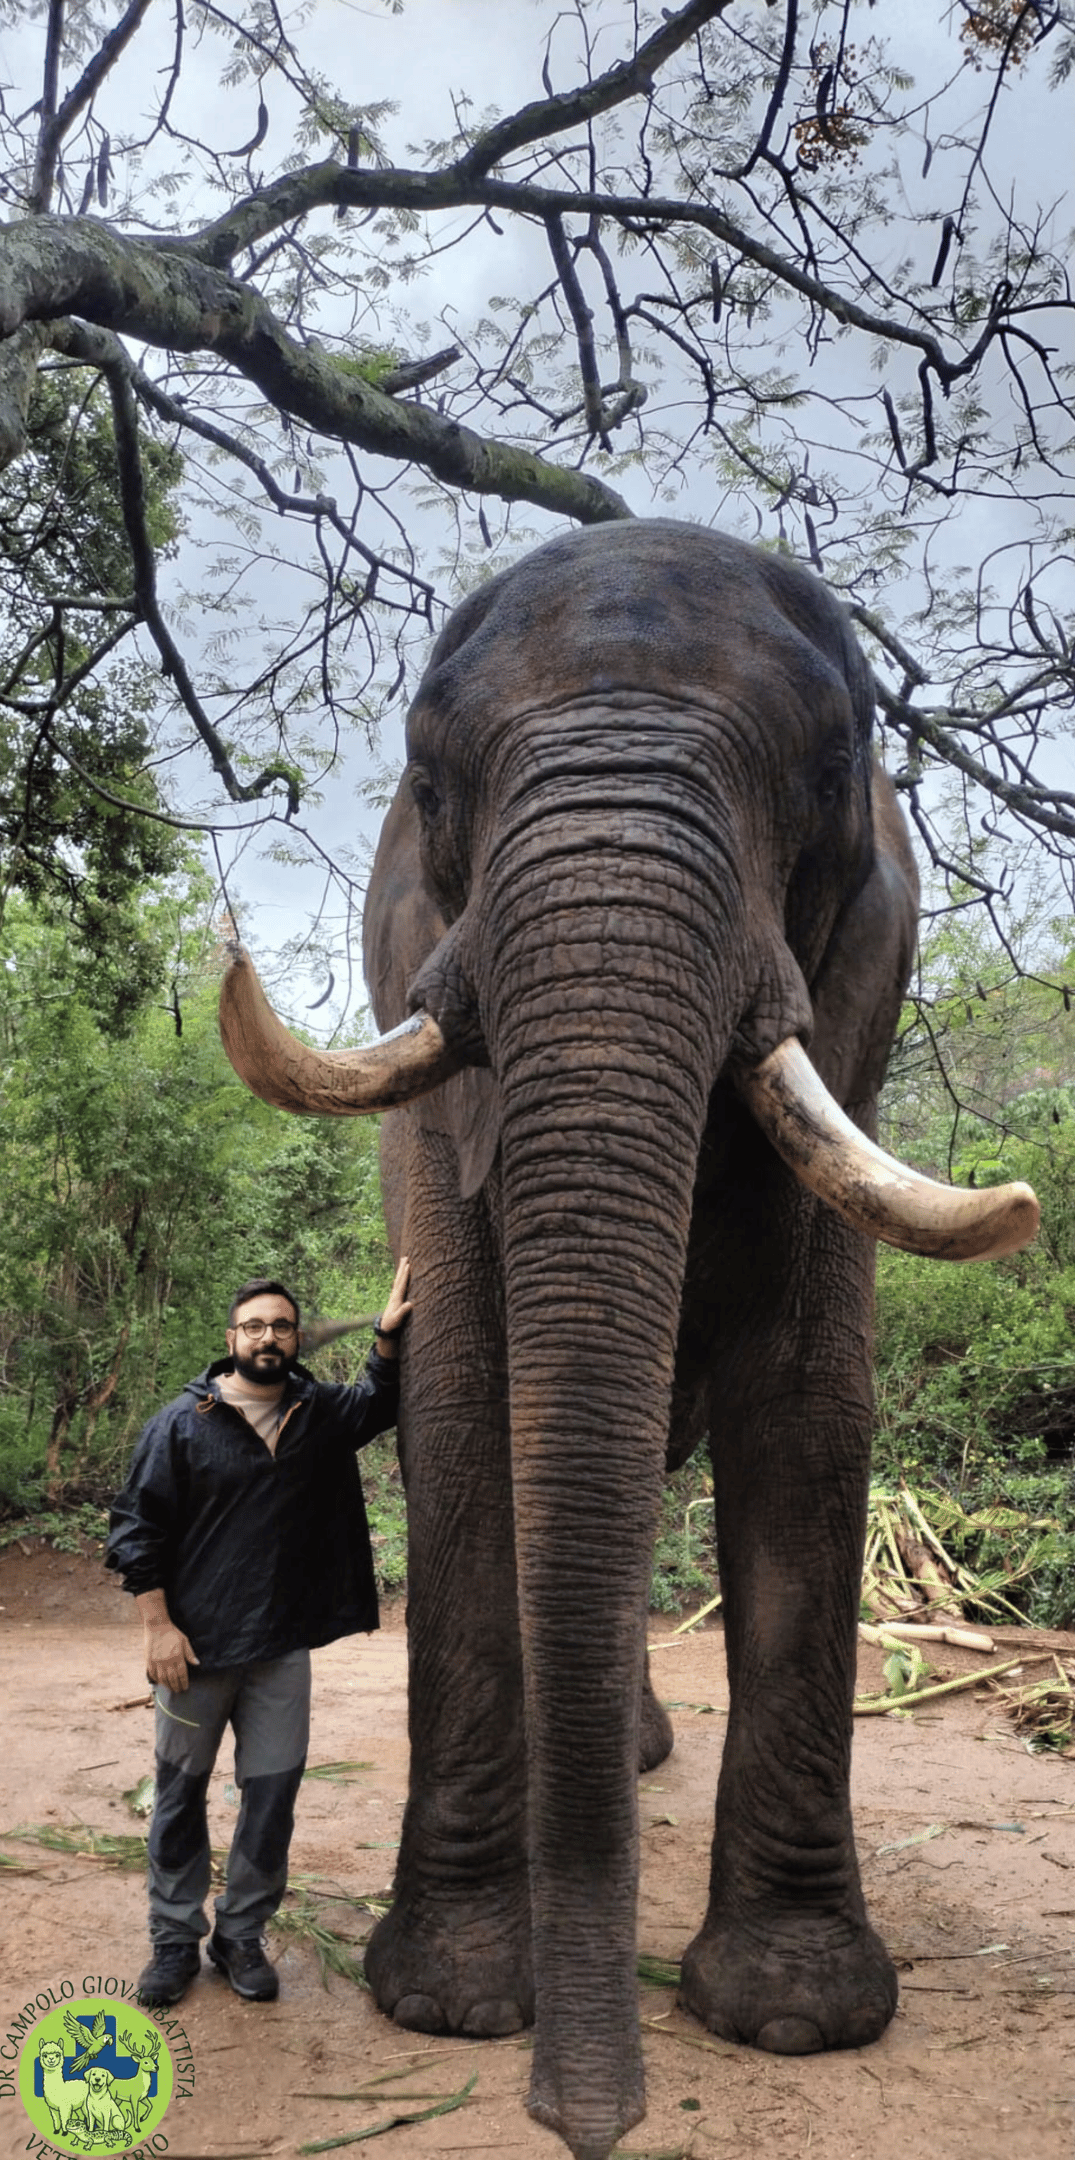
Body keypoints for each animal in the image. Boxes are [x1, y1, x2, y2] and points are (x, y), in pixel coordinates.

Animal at [219, 520, 1037, 2160]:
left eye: (830, 770)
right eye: (428, 777)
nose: (585, 2126)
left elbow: (808, 1420)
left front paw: (793, 2017)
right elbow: (462, 1408)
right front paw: (451, 2002)